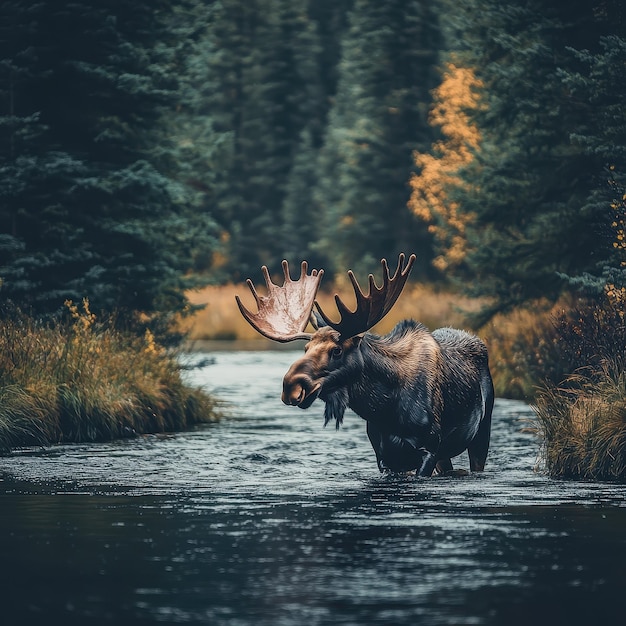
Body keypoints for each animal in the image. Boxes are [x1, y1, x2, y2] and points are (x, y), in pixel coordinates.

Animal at [235, 251, 492, 476]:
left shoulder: (428, 449)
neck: (384, 409)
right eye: (306, 349)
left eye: (337, 350)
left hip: (481, 433)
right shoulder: (385, 457)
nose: (291, 386)